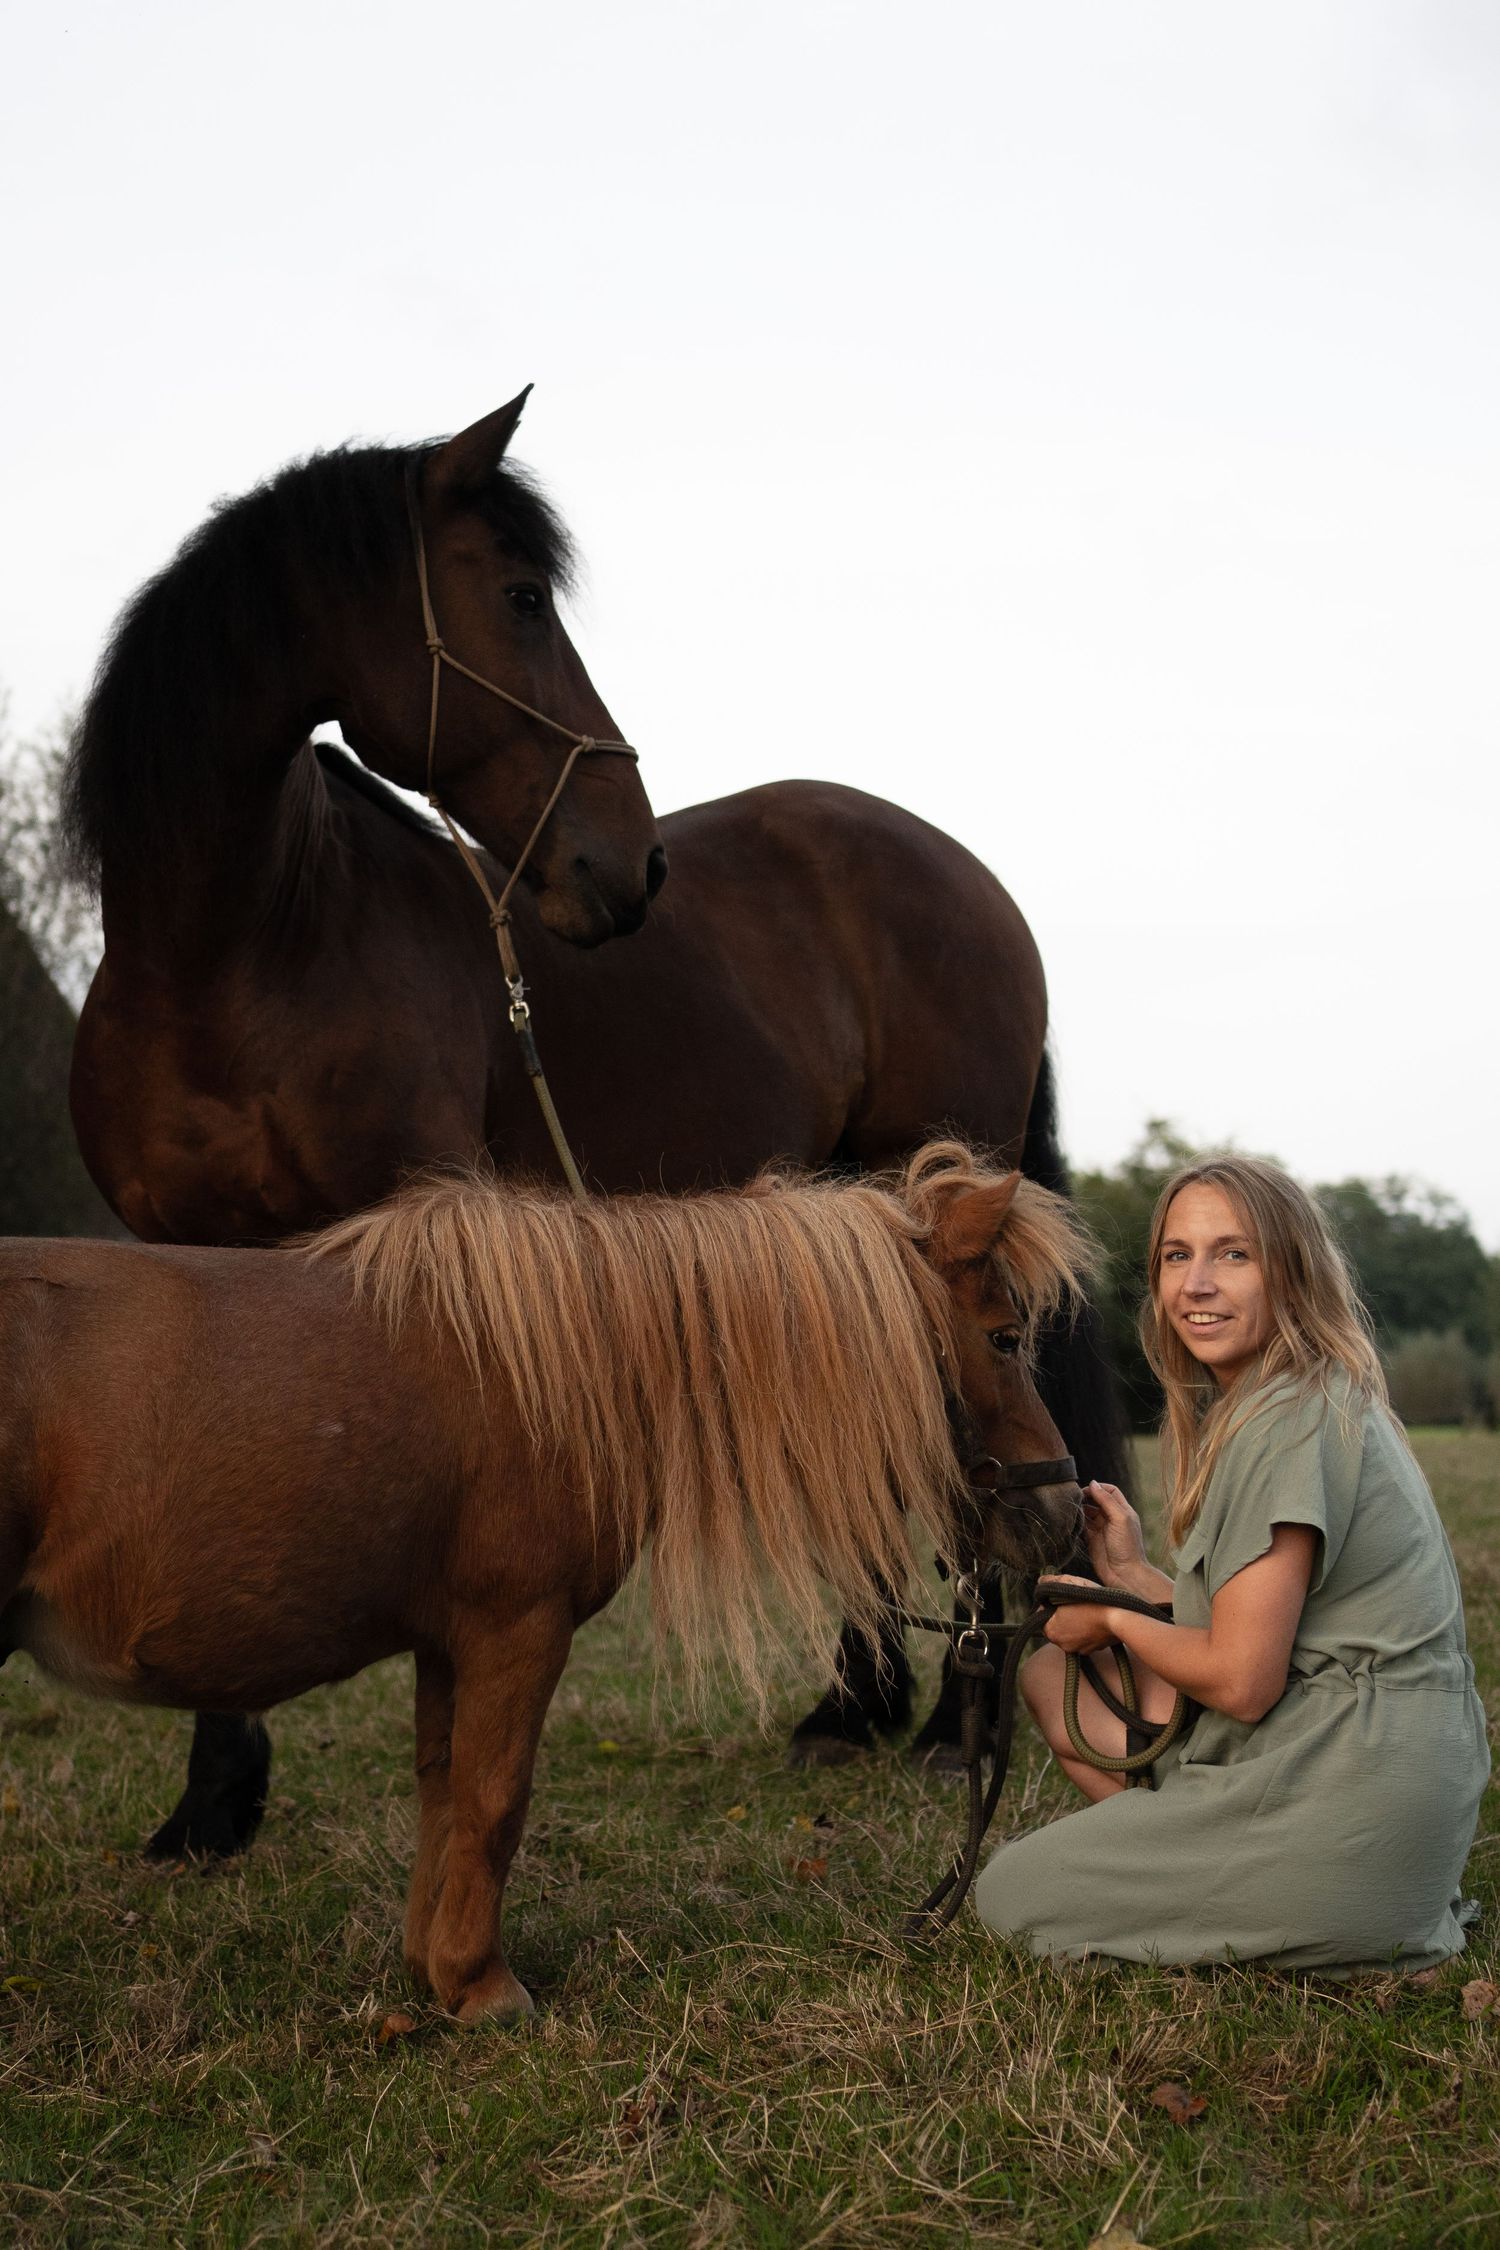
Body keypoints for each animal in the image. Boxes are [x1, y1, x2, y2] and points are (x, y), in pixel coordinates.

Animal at [0, 1146, 1090, 2021]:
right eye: (1002, 1336)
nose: (1065, 1509)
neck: (558, 1366)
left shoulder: (447, 1643)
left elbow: (445, 1795)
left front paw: (431, 1968)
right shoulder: (515, 1628)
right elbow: (495, 1800)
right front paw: (483, 1988)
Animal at [63, 391, 1126, 1857]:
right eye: (518, 597)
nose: (633, 863)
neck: (240, 951)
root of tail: (967, 874)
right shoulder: (188, 1252)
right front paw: (211, 1809)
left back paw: (946, 1734)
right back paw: (851, 1714)